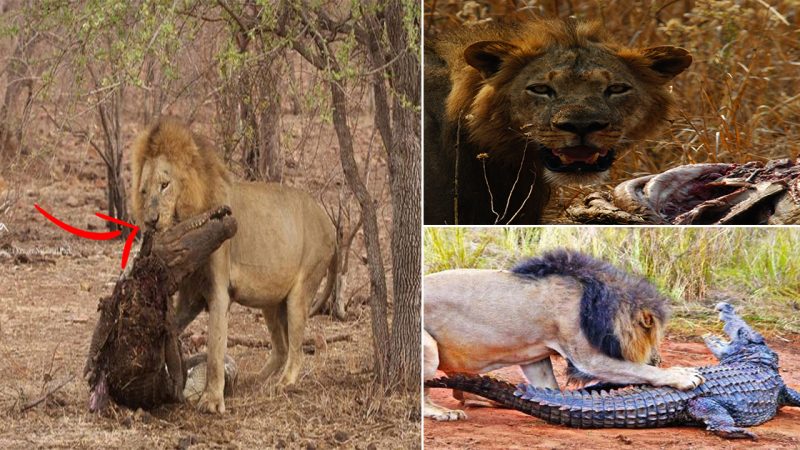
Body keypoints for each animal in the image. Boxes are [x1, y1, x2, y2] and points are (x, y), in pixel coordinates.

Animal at [130, 118, 336, 414]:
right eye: (143, 191)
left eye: (165, 184)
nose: (150, 220)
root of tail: (329, 222)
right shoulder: (190, 295)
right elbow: (175, 324)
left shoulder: (219, 292)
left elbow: (216, 349)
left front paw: (212, 400)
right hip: (271, 302)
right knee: (282, 347)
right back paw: (255, 380)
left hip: (301, 290)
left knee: (296, 350)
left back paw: (284, 383)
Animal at [422, 250, 704, 422]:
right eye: (653, 340)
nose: (658, 358)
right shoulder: (587, 356)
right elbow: (639, 370)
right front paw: (681, 375)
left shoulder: (534, 357)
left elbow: (549, 388)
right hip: (429, 349)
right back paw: (442, 412)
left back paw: (476, 399)